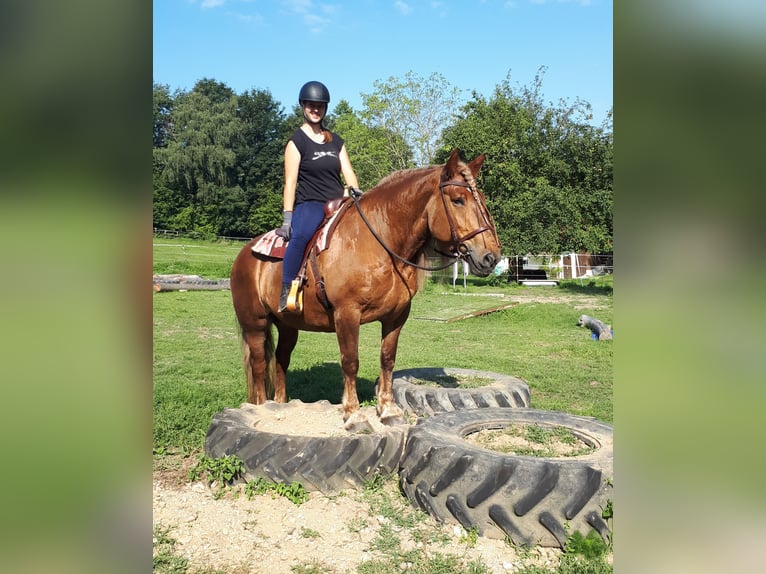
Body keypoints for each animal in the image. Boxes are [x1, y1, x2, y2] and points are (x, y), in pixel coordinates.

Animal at [230, 149, 501, 430]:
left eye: (481, 200)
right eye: (458, 200)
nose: (490, 257)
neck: (377, 243)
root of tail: (245, 254)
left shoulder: (397, 317)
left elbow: (387, 359)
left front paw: (388, 410)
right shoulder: (347, 314)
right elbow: (350, 362)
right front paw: (354, 414)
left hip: (287, 325)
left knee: (281, 360)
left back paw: (280, 405)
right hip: (255, 324)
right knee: (259, 364)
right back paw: (261, 406)